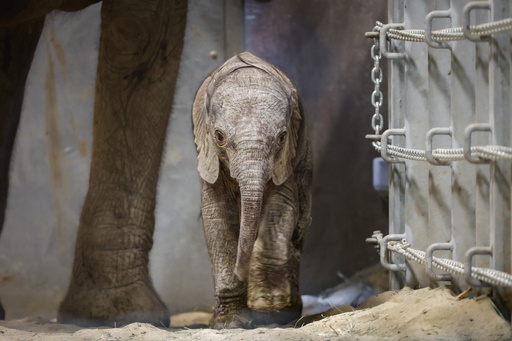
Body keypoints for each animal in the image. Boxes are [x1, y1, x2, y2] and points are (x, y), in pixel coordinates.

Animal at [192, 52, 312, 326]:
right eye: (219, 136)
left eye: (281, 138)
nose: (240, 270)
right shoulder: (211, 162)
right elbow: (216, 216)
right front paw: (229, 323)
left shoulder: (286, 160)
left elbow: (282, 207)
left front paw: (267, 302)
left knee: (298, 229)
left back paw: (287, 311)